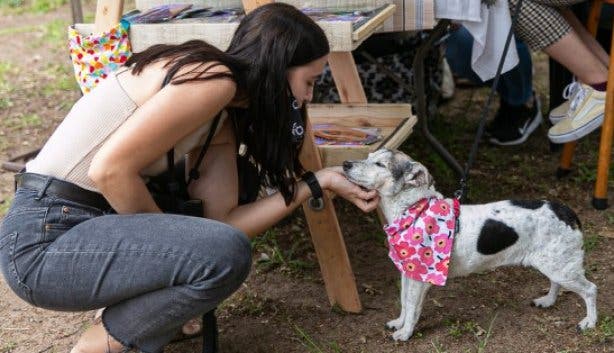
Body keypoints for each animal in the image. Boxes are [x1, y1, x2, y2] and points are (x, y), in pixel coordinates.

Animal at [344, 149, 600, 340]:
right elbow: (404, 302)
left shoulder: (421, 278)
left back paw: (589, 321)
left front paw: (406, 333)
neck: (413, 209)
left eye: (379, 164)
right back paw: (548, 301)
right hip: (554, 264)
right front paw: (399, 323)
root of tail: (565, 210)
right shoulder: (409, 273)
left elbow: (412, 306)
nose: (345, 164)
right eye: (368, 156)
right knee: (557, 284)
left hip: (562, 267)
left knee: (590, 290)